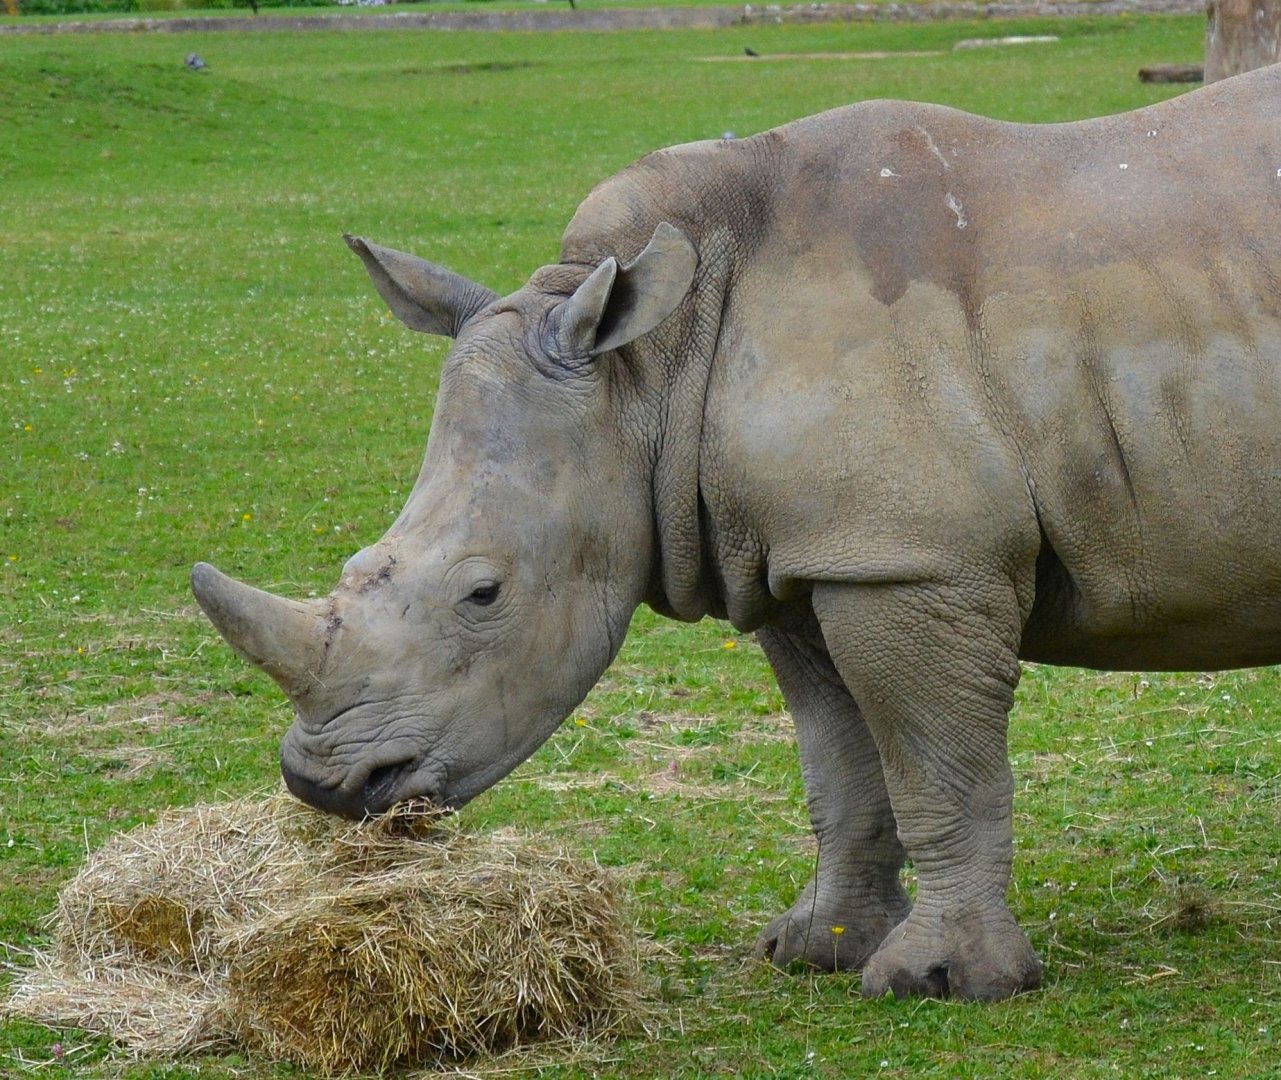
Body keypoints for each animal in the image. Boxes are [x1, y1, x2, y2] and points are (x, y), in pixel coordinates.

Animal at [192, 66, 1281, 1002]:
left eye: (483, 594)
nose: (326, 785)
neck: (651, 372)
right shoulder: (811, 557)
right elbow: (842, 765)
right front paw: (816, 949)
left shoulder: (910, 559)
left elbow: (936, 767)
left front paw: (941, 981)